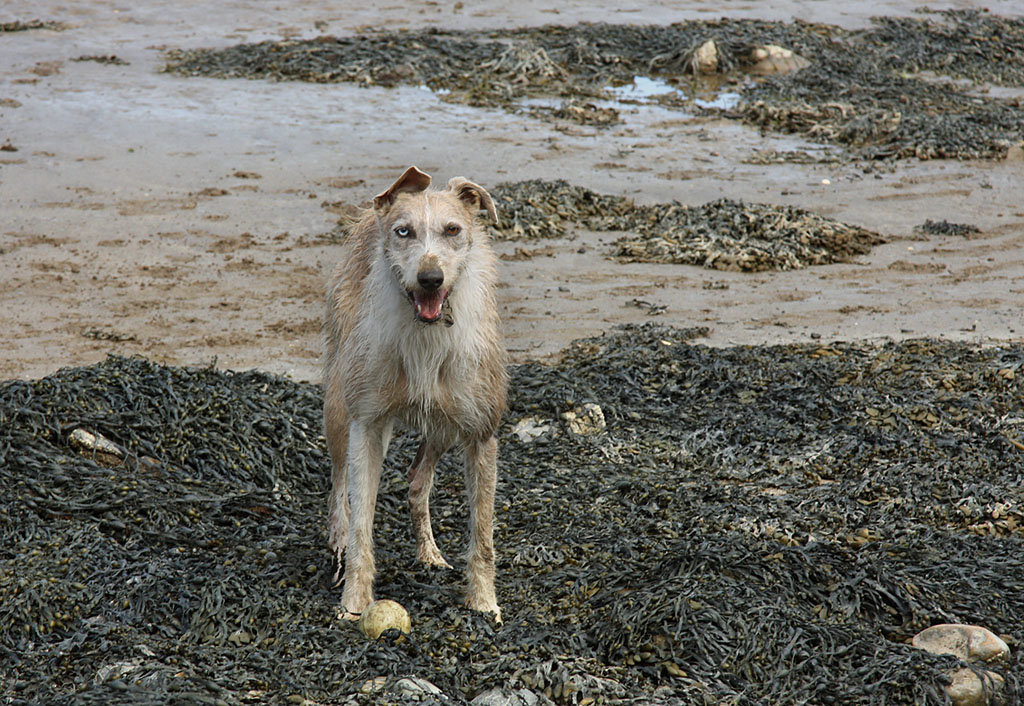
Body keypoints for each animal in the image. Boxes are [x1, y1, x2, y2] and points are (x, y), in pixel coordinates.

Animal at [323, 168, 507, 618]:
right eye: (403, 231)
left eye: (453, 230)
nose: (430, 279)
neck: (427, 332)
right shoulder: (367, 425)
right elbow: (361, 522)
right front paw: (354, 601)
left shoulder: (481, 434)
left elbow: (483, 533)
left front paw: (483, 603)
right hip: (339, 407)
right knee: (338, 484)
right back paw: (337, 541)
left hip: (443, 428)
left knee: (417, 481)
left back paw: (429, 553)